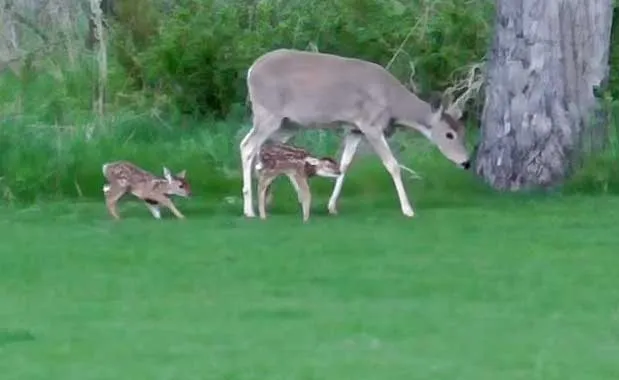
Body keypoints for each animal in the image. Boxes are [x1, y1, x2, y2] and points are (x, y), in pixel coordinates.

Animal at [240, 49, 472, 218]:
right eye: (449, 135)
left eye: (463, 131)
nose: (466, 162)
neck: (393, 104)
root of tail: (250, 70)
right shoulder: (371, 124)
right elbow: (393, 165)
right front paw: (408, 209)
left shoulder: (355, 129)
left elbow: (344, 165)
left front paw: (332, 206)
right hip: (268, 113)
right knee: (247, 146)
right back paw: (250, 209)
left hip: (288, 124)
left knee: (269, 151)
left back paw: (273, 199)